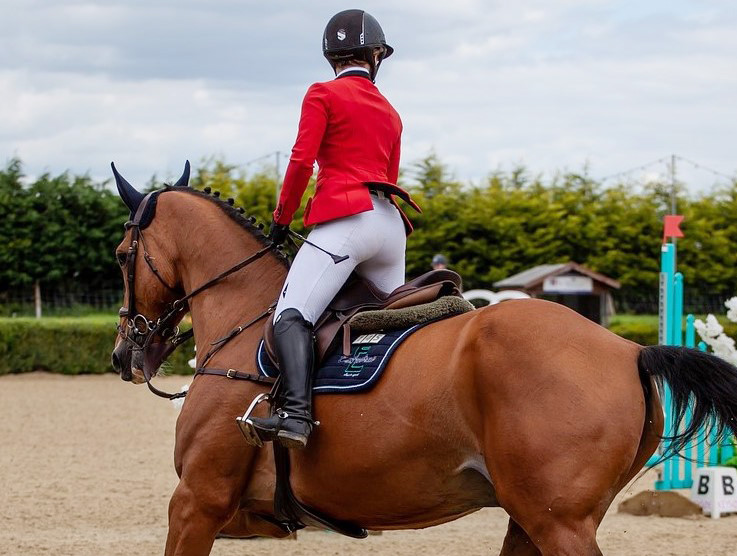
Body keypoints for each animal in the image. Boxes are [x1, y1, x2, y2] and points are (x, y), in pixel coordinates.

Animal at [109, 166, 736, 556]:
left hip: (557, 522)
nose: (123, 354)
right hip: (532, 519)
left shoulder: (197, 503)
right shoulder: (246, 516)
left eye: (120, 255)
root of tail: (629, 348)